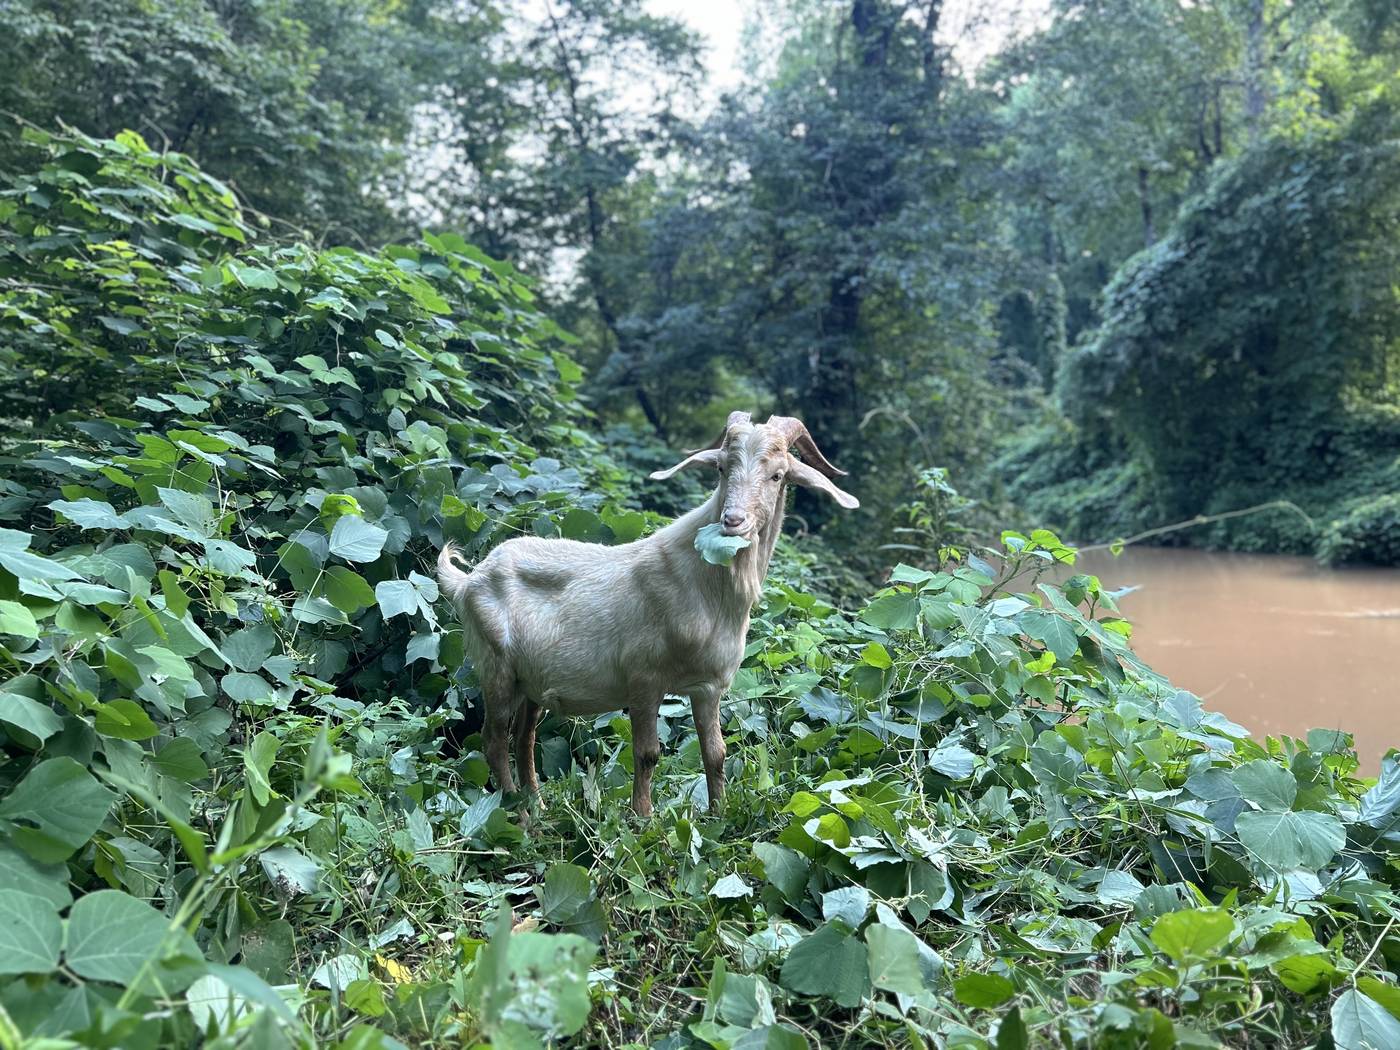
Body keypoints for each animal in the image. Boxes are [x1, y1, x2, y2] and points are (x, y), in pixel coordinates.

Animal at [437, 412, 858, 816]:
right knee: (494, 742)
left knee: (524, 739)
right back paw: (519, 816)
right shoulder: (644, 680)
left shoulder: (709, 687)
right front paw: (642, 819)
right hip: (497, 669)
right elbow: (648, 753)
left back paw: (537, 810)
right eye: (722, 467)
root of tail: (469, 580)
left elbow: (716, 754)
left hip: (531, 683)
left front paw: (719, 816)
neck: (705, 588)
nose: (733, 521)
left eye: (778, 475)